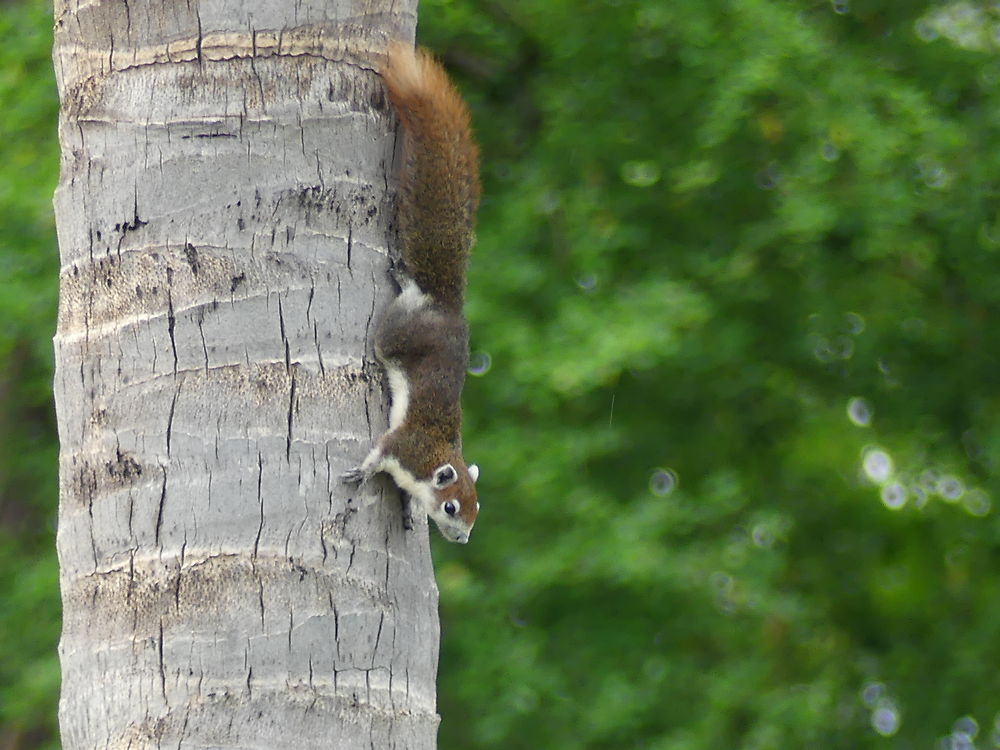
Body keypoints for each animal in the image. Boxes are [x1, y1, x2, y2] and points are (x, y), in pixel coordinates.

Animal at [342, 42, 482, 548]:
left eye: (477, 510)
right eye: (452, 506)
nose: (462, 540)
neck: (435, 459)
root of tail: (444, 306)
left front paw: (405, 510)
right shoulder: (404, 447)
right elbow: (379, 451)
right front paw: (362, 474)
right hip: (396, 334)